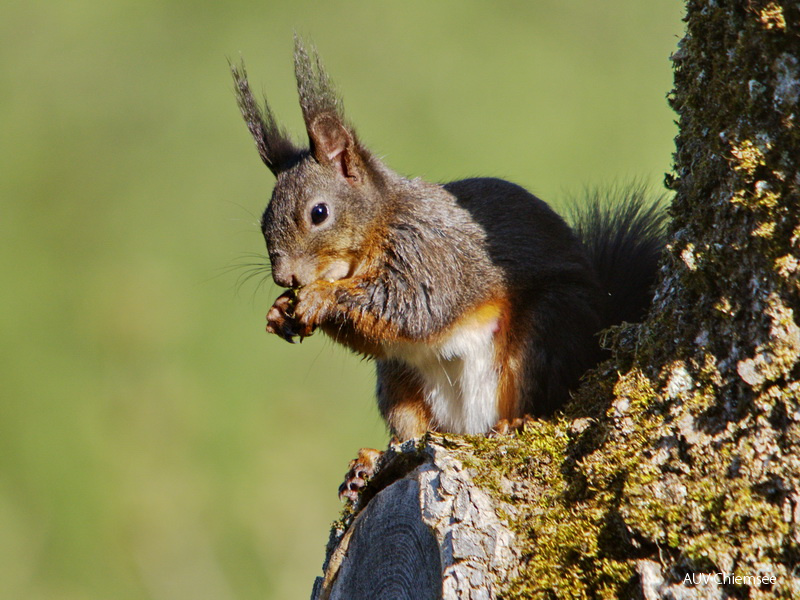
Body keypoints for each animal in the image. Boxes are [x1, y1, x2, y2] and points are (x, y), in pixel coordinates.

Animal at [233, 38, 668, 502]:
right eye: (263, 219)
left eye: (319, 213)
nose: (285, 278)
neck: (380, 225)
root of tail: (470, 425)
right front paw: (279, 311)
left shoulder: (430, 256)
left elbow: (408, 307)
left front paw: (319, 298)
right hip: (399, 383)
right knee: (410, 430)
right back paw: (368, 461)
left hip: (544, 332)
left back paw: (516, 422)